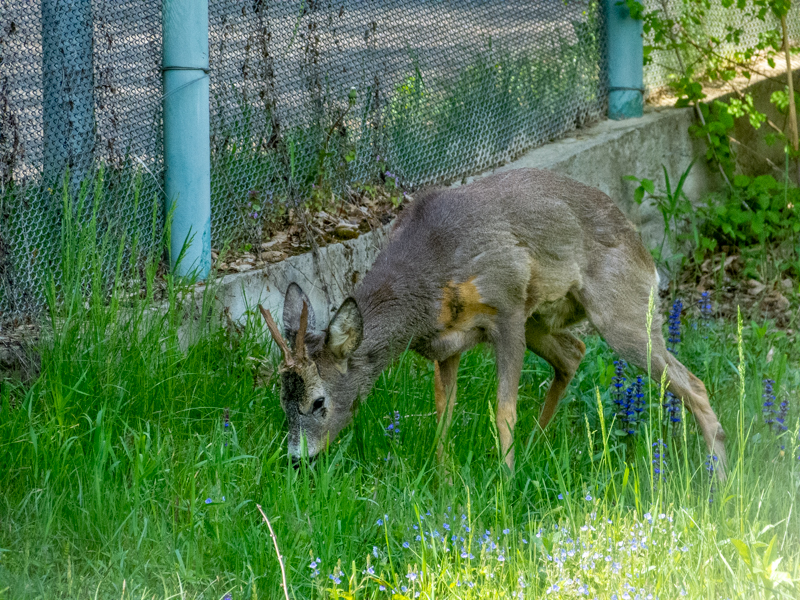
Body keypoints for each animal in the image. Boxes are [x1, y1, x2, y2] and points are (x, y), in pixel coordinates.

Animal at [259, 168, 728, 480]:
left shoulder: (506, 308)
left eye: (319, 402)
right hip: (543, 319)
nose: (297, 460)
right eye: (281, 401)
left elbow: (504, 408)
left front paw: (504, 480)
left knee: (692, 383)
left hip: (621, 311)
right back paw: (537, 445)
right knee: (574, 353)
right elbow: (443, 413)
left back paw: (719, 477)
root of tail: (644, 250)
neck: (430, 280)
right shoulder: (445, 345)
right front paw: (445, 477)